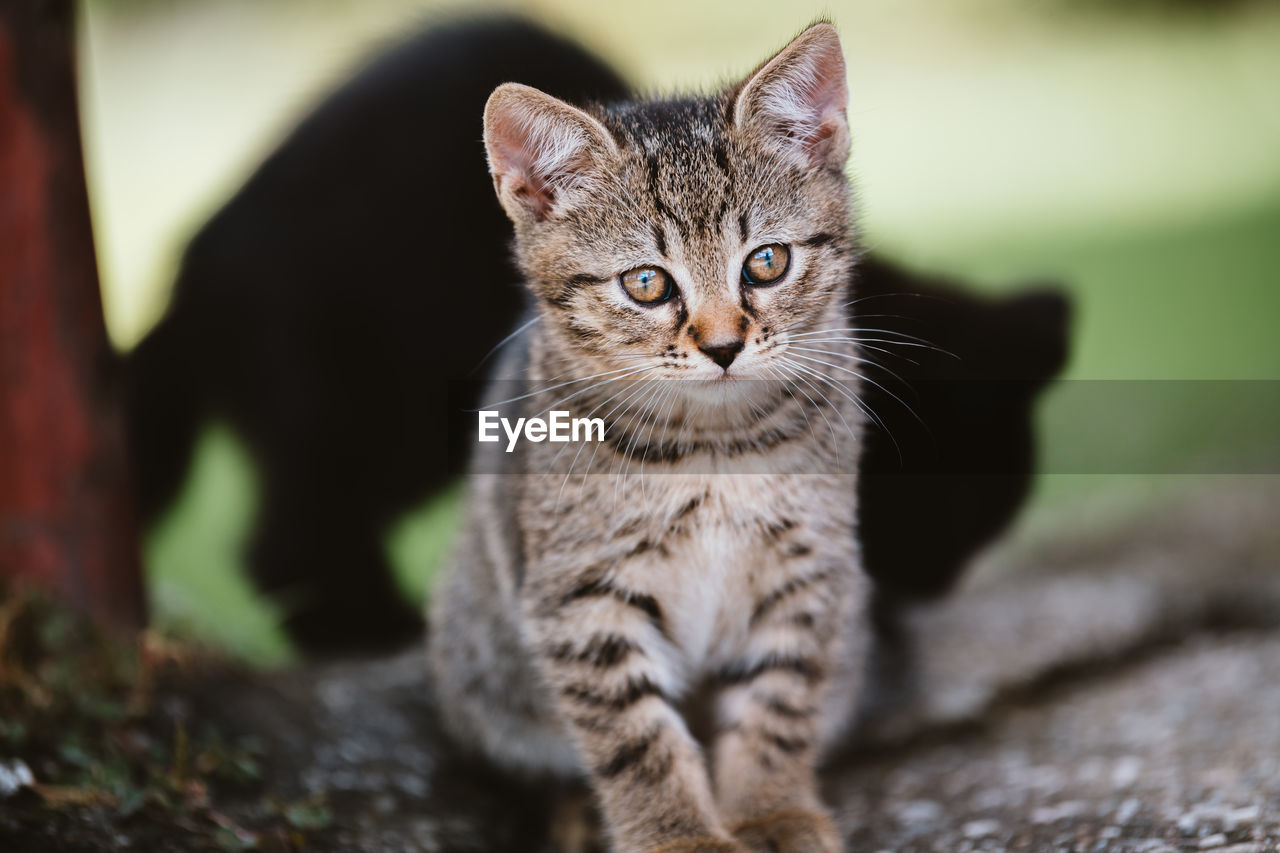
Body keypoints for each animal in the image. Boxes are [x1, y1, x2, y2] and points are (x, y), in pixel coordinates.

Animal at [127, 13, 1070, 653]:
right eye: (919, 501)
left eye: (766, 263)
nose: (932, 582)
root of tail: (197, 254)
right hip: (368, 394)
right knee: (290, 531)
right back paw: (375, 632)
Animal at [435, 23, 865, 845]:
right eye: (646, 283)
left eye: (767, 261)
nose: (724, 346)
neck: (715, 447)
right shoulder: (580, 595)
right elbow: (635, 738)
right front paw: (681, 835)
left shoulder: (808, 564)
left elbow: (779, 702)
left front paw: (772, 809)